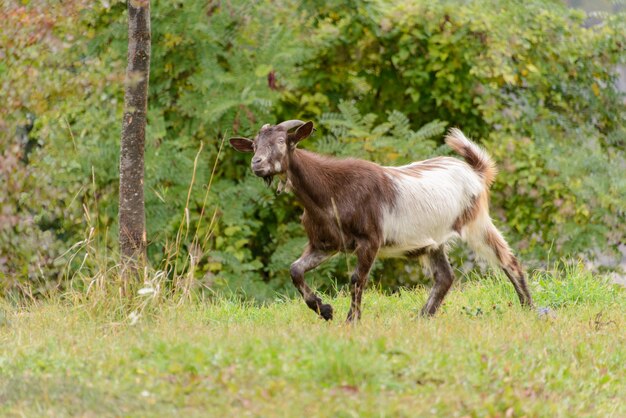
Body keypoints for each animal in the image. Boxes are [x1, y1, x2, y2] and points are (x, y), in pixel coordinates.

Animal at [229, 119, 532, 322]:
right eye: (254, 145)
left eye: (282, 142)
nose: (257, 163)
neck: (331, 191)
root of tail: (476, 171)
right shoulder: (325, 244)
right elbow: (295, 270)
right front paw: (324, 309)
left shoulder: (370, 240)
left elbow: (356, 279)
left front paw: (351, 320)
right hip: (434, 241)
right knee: (445, 277)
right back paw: (422, 317)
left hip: (475, 221)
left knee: (508, 260)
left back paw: (528, 307)